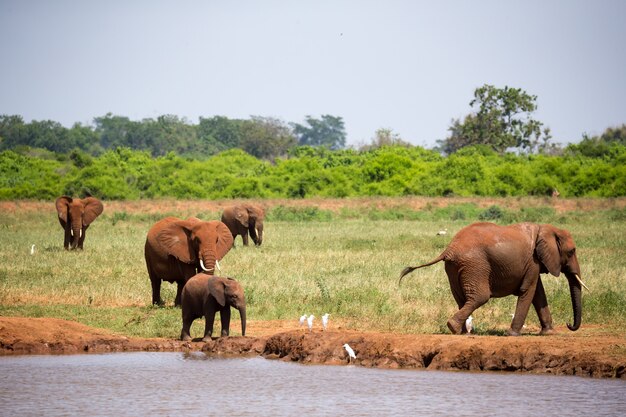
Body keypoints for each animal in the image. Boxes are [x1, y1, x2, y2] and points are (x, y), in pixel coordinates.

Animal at [398, 221, 588, 334]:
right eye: (572, 251)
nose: (569, 324)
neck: (546, 228)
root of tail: (449, 249)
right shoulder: (533, 261)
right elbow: (529, 290)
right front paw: (513, 335)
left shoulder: (533, 264)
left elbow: (538, 293)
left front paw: (547, 333)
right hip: (475, 265)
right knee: (480, 297)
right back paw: (454, 327)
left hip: (454, 268)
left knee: (461, 298)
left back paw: (461, 331)